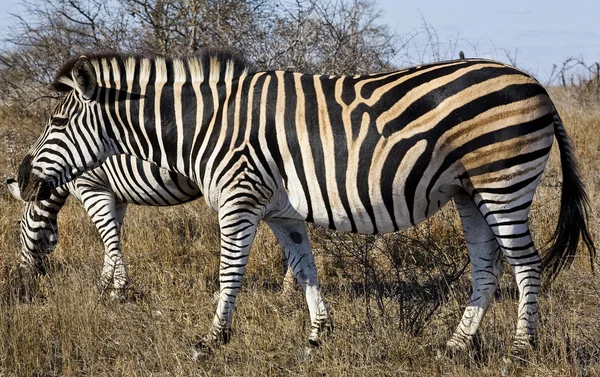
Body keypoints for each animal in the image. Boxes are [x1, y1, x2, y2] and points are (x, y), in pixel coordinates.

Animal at [5, 154, 202, 298]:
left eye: (20, 225)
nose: (23, 276)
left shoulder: (92, 188)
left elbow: (109, 237)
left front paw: (115, 289)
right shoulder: (118, 198)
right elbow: (113, 239)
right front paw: (106, 286)